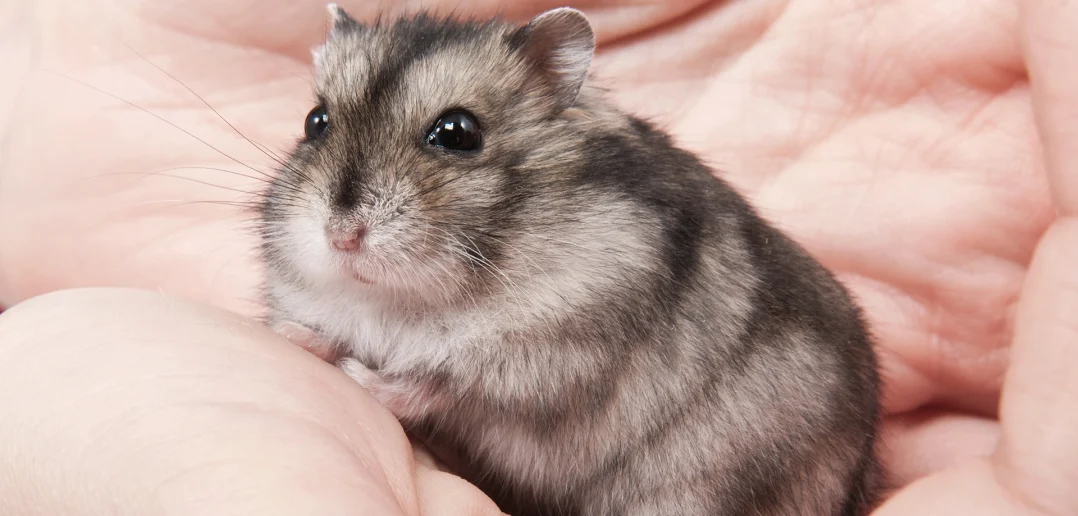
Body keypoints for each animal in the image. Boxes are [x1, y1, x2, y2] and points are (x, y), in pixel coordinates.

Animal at [259, 5, 881, 516]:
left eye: (457, 132)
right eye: (315, 121)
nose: (342, 237)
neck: (402, 300)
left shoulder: (550, 362)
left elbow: (437, 386)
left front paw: (357, 373)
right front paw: (292, 334)